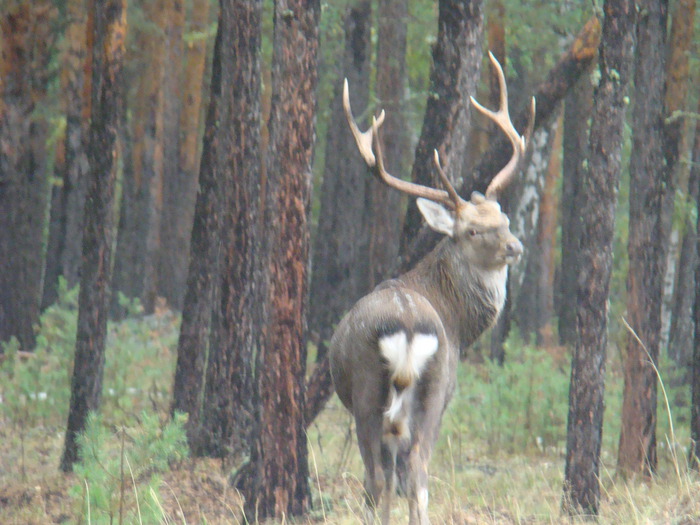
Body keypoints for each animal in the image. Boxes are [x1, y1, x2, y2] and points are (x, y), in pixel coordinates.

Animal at [328, 52, 535, 524]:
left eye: (504, 219)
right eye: (473, 231)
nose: (515, 246)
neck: (459, 324)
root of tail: (407, 325)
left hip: (377, 394)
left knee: (387, 478)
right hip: (424, 391)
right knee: (412, 477)